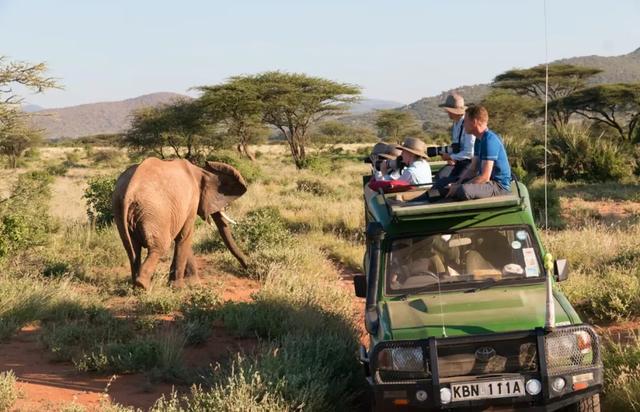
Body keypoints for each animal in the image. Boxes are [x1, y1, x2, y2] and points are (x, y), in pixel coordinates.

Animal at [112, 158, 248, 290]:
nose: (247, 266)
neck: (200, 170)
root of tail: (130, 191)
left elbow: (182, 238)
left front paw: (189, 284)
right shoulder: (192, 201)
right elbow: (185, 237)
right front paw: (181, 287)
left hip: (121, 210)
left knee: (132, 249)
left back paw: (135, 287)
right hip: (155, 211)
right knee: (159, 246)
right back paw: (143, 286)